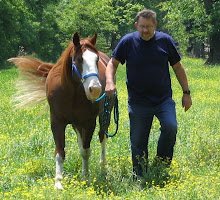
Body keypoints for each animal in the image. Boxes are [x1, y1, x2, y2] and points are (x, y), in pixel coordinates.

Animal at [7, 31, 112, 189]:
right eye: (80, 59)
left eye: (96, 59)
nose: (95, 89)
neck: (71, 91)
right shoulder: (57, 122)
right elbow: (60, 152)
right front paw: (58, 182)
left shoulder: (89, 122)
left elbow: (86, 151)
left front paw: (85, 178)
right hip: (77, 124)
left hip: (105, 115)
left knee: (102, 138)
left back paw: (103, 169)